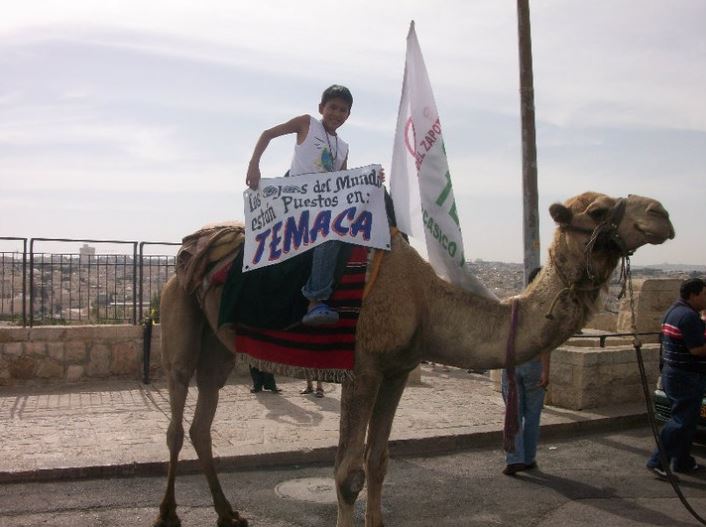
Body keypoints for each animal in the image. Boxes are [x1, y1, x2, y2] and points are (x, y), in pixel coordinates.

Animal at [153, 193, 672, 527]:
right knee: (176, 419)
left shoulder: (397, 371)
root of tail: (191, 248)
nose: (661, 214)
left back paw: (228, 512)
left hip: (220, 346)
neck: (424, 302)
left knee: (202, 420)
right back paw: (168, 513)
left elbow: (379, 462)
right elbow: (347, 474)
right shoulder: (362, 370)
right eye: (598, 210)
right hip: (178, 312)